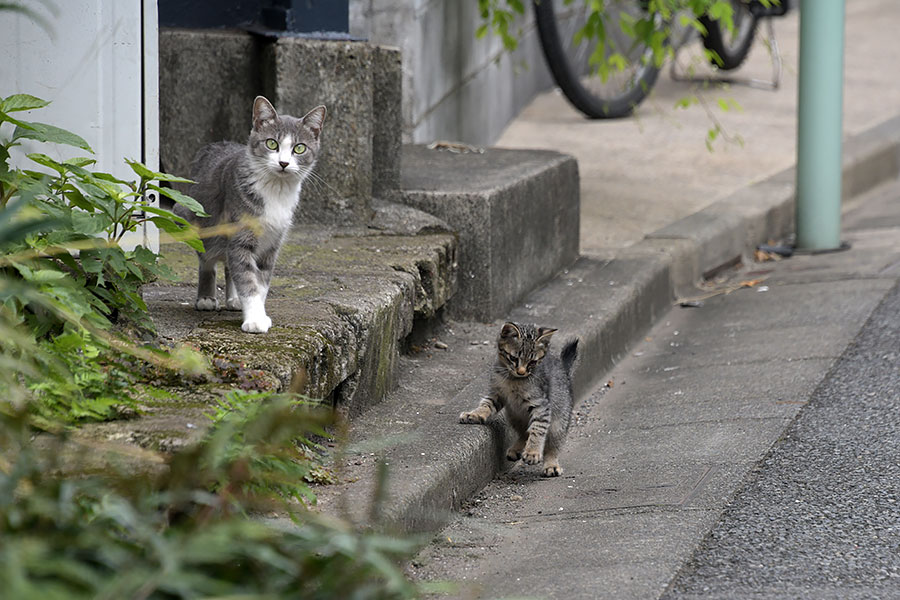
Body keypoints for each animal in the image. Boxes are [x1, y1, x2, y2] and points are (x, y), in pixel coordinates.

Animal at [174, 96, 326, 336]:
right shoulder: (240, 235)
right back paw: (206, 298)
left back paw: (234, 299)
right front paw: (255, 320)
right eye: (272, 143)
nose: (283, 163)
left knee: (229, 265)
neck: (276, 191)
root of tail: (215, 144)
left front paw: (256, 311)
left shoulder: (272, 244)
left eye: (299, 148)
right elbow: (247, 278)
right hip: (196, 219)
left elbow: (260, 281)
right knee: (207, 260)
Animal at [460, 324, 580, 478]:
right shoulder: (497, 394)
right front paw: (475, 414)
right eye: (513, 358)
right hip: (514, 414)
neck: (513, 379)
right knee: (524, 431)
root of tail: (564, 372)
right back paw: (516, 449)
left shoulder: (541, 405)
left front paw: (533, 452)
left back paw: (551, 464)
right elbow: (486, 404)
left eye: (532, 362)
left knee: (552, 444)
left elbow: (537, 429)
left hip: (558, 422)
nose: (521, 372)